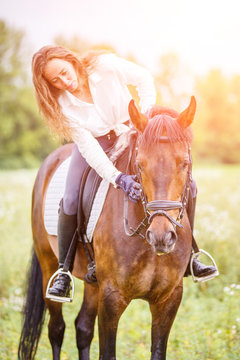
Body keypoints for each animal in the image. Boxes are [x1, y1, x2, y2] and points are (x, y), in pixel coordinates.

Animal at [18, 97, 195, 358]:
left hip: (93, 282)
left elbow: (157, 351)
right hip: (49, 266)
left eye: (184, 163)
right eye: (140, 165)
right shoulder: (111, 300)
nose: (161, 237)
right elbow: (107, 352)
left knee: (82, 328)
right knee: (56, 329)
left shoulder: (169, 299)